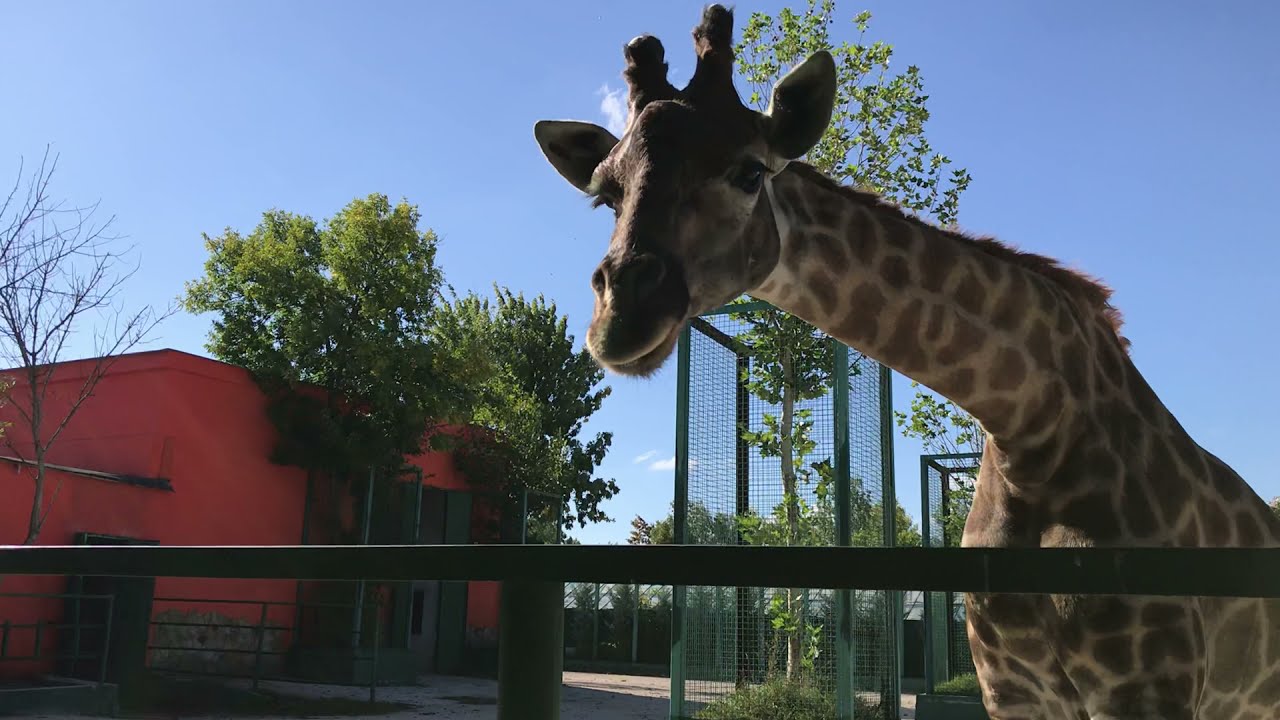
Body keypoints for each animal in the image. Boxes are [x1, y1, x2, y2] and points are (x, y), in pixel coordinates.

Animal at [532, 5, 1280, 719]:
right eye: (606, 194)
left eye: (749, 171)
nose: (619, 317)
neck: (1035, 428)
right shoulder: (1011, 687)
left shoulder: (1149, 687)